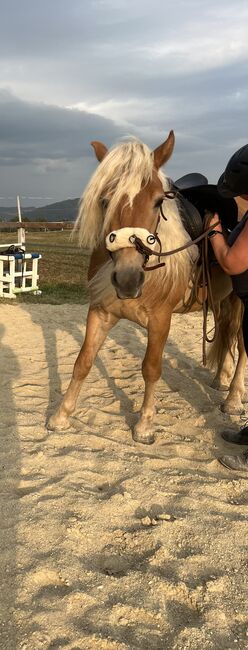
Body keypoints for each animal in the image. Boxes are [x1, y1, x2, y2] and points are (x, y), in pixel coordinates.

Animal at [48, 132, 246, 446]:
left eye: (157, 202)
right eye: (105, 200)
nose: (128, 279)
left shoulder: (160, 320)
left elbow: (151, 369)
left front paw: (144, 426)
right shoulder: (100, 312)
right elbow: (83, 362)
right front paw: (61, 417)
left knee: (241, 344)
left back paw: (234, 399)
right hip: (222, 300)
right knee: (227, 335)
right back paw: (220, 380)